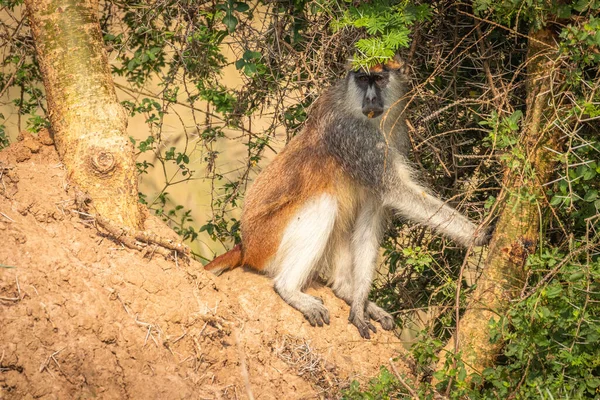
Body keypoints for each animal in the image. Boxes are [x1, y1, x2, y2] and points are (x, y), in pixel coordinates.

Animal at [204, 55, 490, 338]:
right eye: (362, 78)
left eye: (379, 78)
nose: (371, 99)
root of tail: (245, 245)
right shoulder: (357, 138)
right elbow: (397, 192)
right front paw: (481, 233)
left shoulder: (394, 139)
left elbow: (372, 216)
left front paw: (360, 304)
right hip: (267, 241)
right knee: (325, 204)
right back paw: (289, 289)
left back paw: (345, 290)